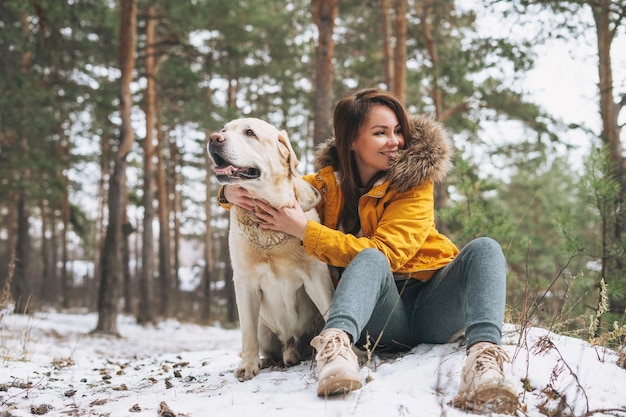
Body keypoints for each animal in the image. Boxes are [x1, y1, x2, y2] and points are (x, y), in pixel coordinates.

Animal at [206, 117, 334, 380]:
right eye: (224, 130)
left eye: (249, 133)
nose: (214, 138)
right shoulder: (244, 281)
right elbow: (246, 332)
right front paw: (248, 365)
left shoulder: (316, 276)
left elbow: (330, 311)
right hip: (264, 329)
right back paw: (267, 360)